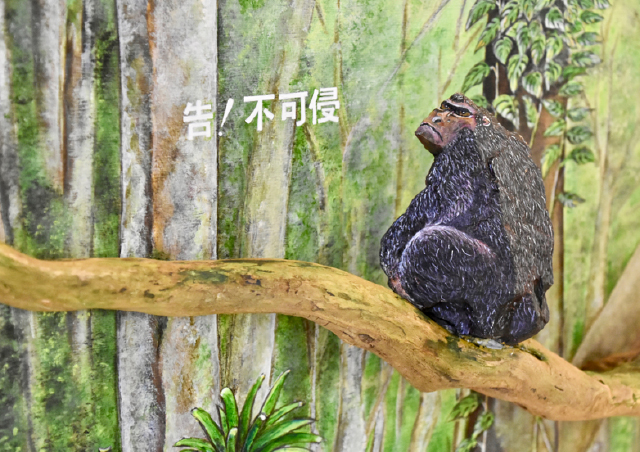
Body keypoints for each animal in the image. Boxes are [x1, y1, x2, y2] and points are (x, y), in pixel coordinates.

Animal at [380, 93, 553, 345]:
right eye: (445, 107)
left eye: (461, 113)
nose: (438, 117)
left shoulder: (462, 153)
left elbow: (444, 210)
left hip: (488, 300)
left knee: (427, 244)